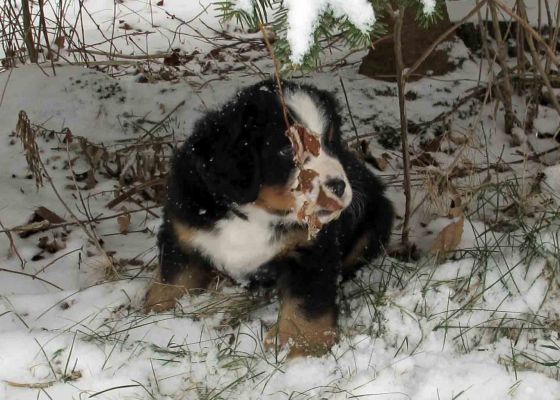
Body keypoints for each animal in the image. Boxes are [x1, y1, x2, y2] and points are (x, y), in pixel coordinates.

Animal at [144, 79, 394, 358]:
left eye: (330, 141)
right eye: (286, 149)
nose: (338, 186)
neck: (256, 212)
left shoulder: (312, 250)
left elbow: (307, 302)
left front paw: (301, 347)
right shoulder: (182, 231)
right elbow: (174, 279)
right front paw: (155, 318)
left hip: (378, 220)